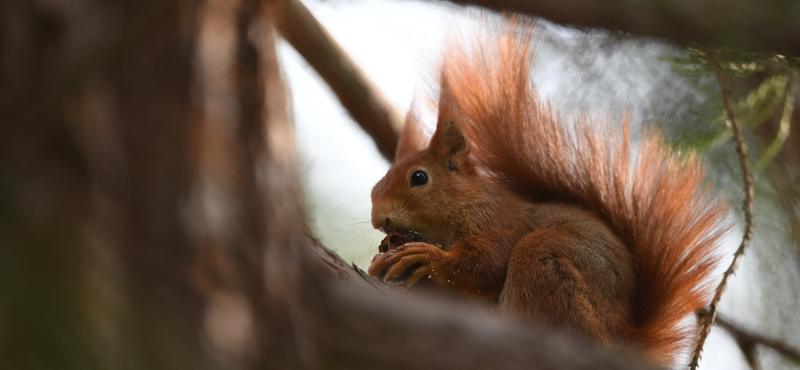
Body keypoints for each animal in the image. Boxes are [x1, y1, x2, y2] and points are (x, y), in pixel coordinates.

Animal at [368, 21, 732, 368]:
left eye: (419, 177)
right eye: (374, 188)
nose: (377, 220)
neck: (462, 204)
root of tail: (619, 340)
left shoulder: (495, 220)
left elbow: (486, 265)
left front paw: (429, 257)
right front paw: (382, 259)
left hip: (543, 261)